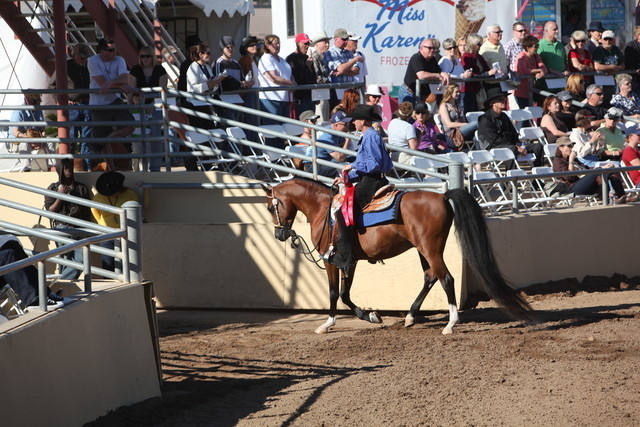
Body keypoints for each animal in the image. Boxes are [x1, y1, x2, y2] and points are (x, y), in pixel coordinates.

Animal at [262, 177, 534, 334]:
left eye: (269, 207)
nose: (279, 235)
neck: (323, 209)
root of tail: (441, 195)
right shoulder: (351, 262)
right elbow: (345, 293)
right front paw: (371, 315)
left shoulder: (332, 261)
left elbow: (333, 293)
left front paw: (328, 324)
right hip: (424, 249)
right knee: (430, 277)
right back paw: (411, 316)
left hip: (430, 248)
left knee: (446, 279)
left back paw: (450, 324)